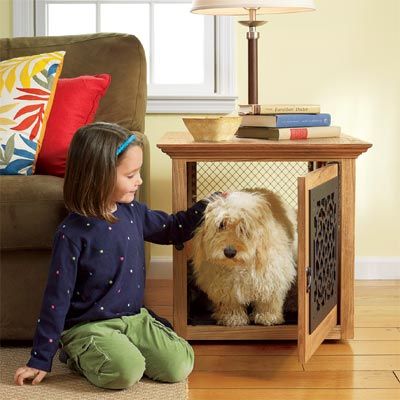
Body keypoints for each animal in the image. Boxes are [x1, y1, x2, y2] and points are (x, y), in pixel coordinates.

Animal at [191, 189, 296, 326]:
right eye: (221, 225)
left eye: (243, 227)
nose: (229, 252)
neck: (239, 265)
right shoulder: (224, 286)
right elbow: (231, 302)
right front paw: (233, 318)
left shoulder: (271, 277)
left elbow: (268, 300)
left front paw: (267, 316)